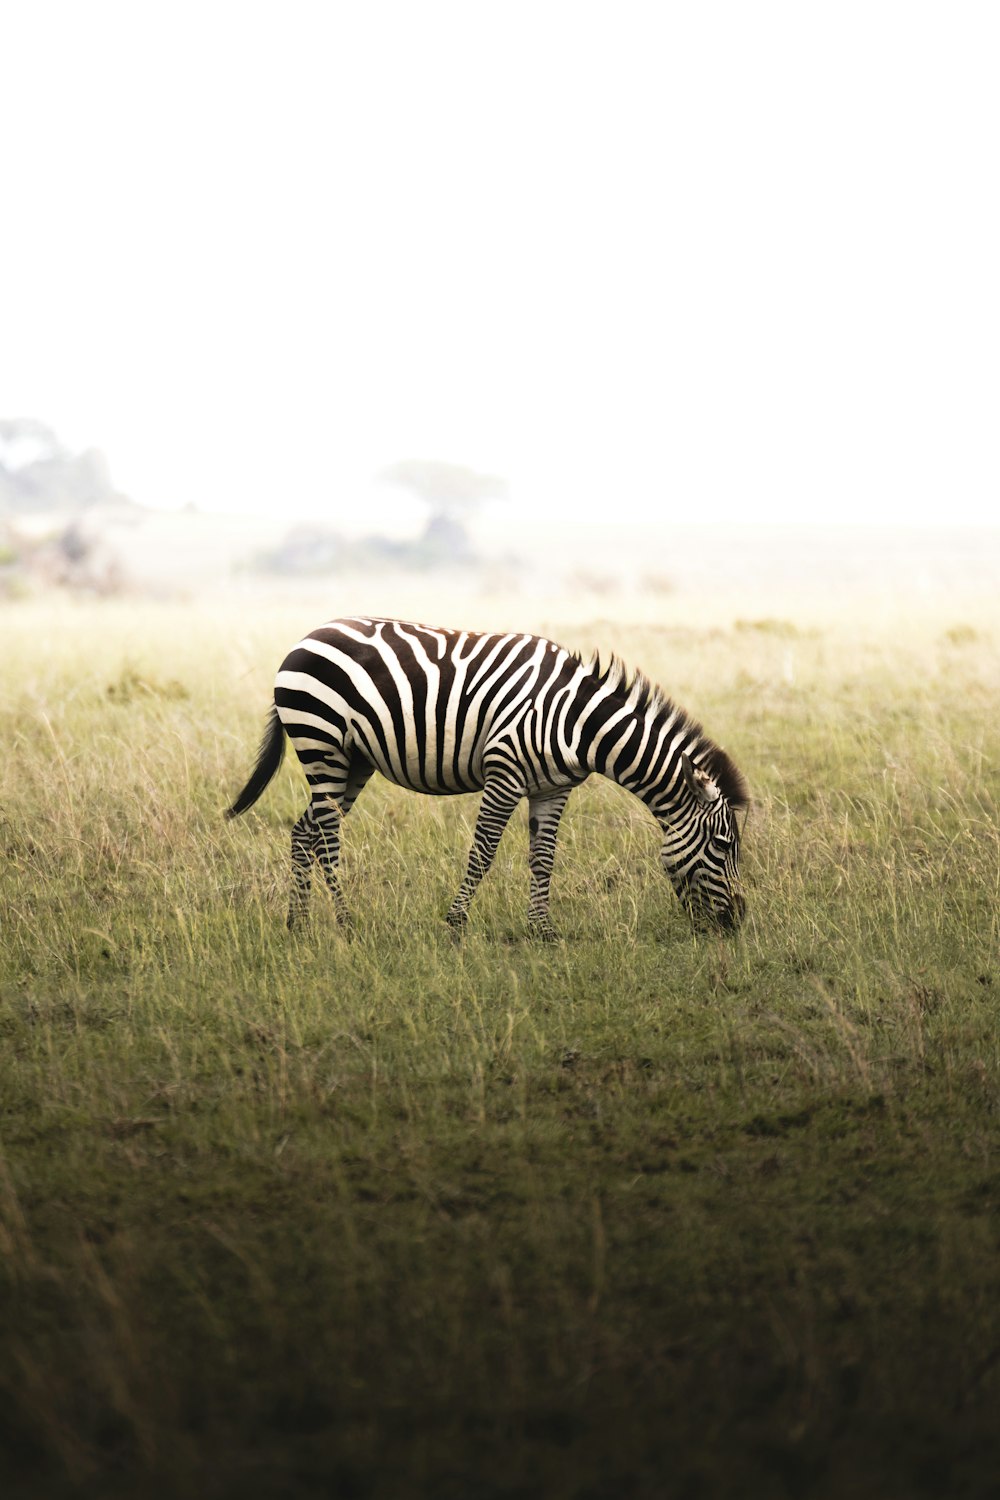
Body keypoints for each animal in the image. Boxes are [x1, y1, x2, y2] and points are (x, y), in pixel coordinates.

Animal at [224, 615, 743, 930]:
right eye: (722, 846)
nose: (737, 921)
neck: (578, 722)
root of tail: (307, 636)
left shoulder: (552, 789)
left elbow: (544, 857)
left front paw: (542, 930)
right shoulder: (504, 773)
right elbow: (483, 852)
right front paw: (455, 925)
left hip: (352, 760)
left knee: (305, 832)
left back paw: (298, 924)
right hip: (321, 744)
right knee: (327, 837)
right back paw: (347, 924)